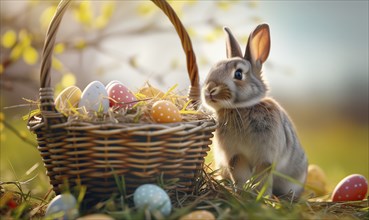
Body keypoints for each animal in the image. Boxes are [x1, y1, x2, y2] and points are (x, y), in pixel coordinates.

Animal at [201, 24, 308, 199]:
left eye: (238, 74)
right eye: (213, 69)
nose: (210, 90)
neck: (242, 108)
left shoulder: (265, 158)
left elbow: (261, 178)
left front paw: (260, 196)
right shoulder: (236, 156)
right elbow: (240, 176)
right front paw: (242, 193)